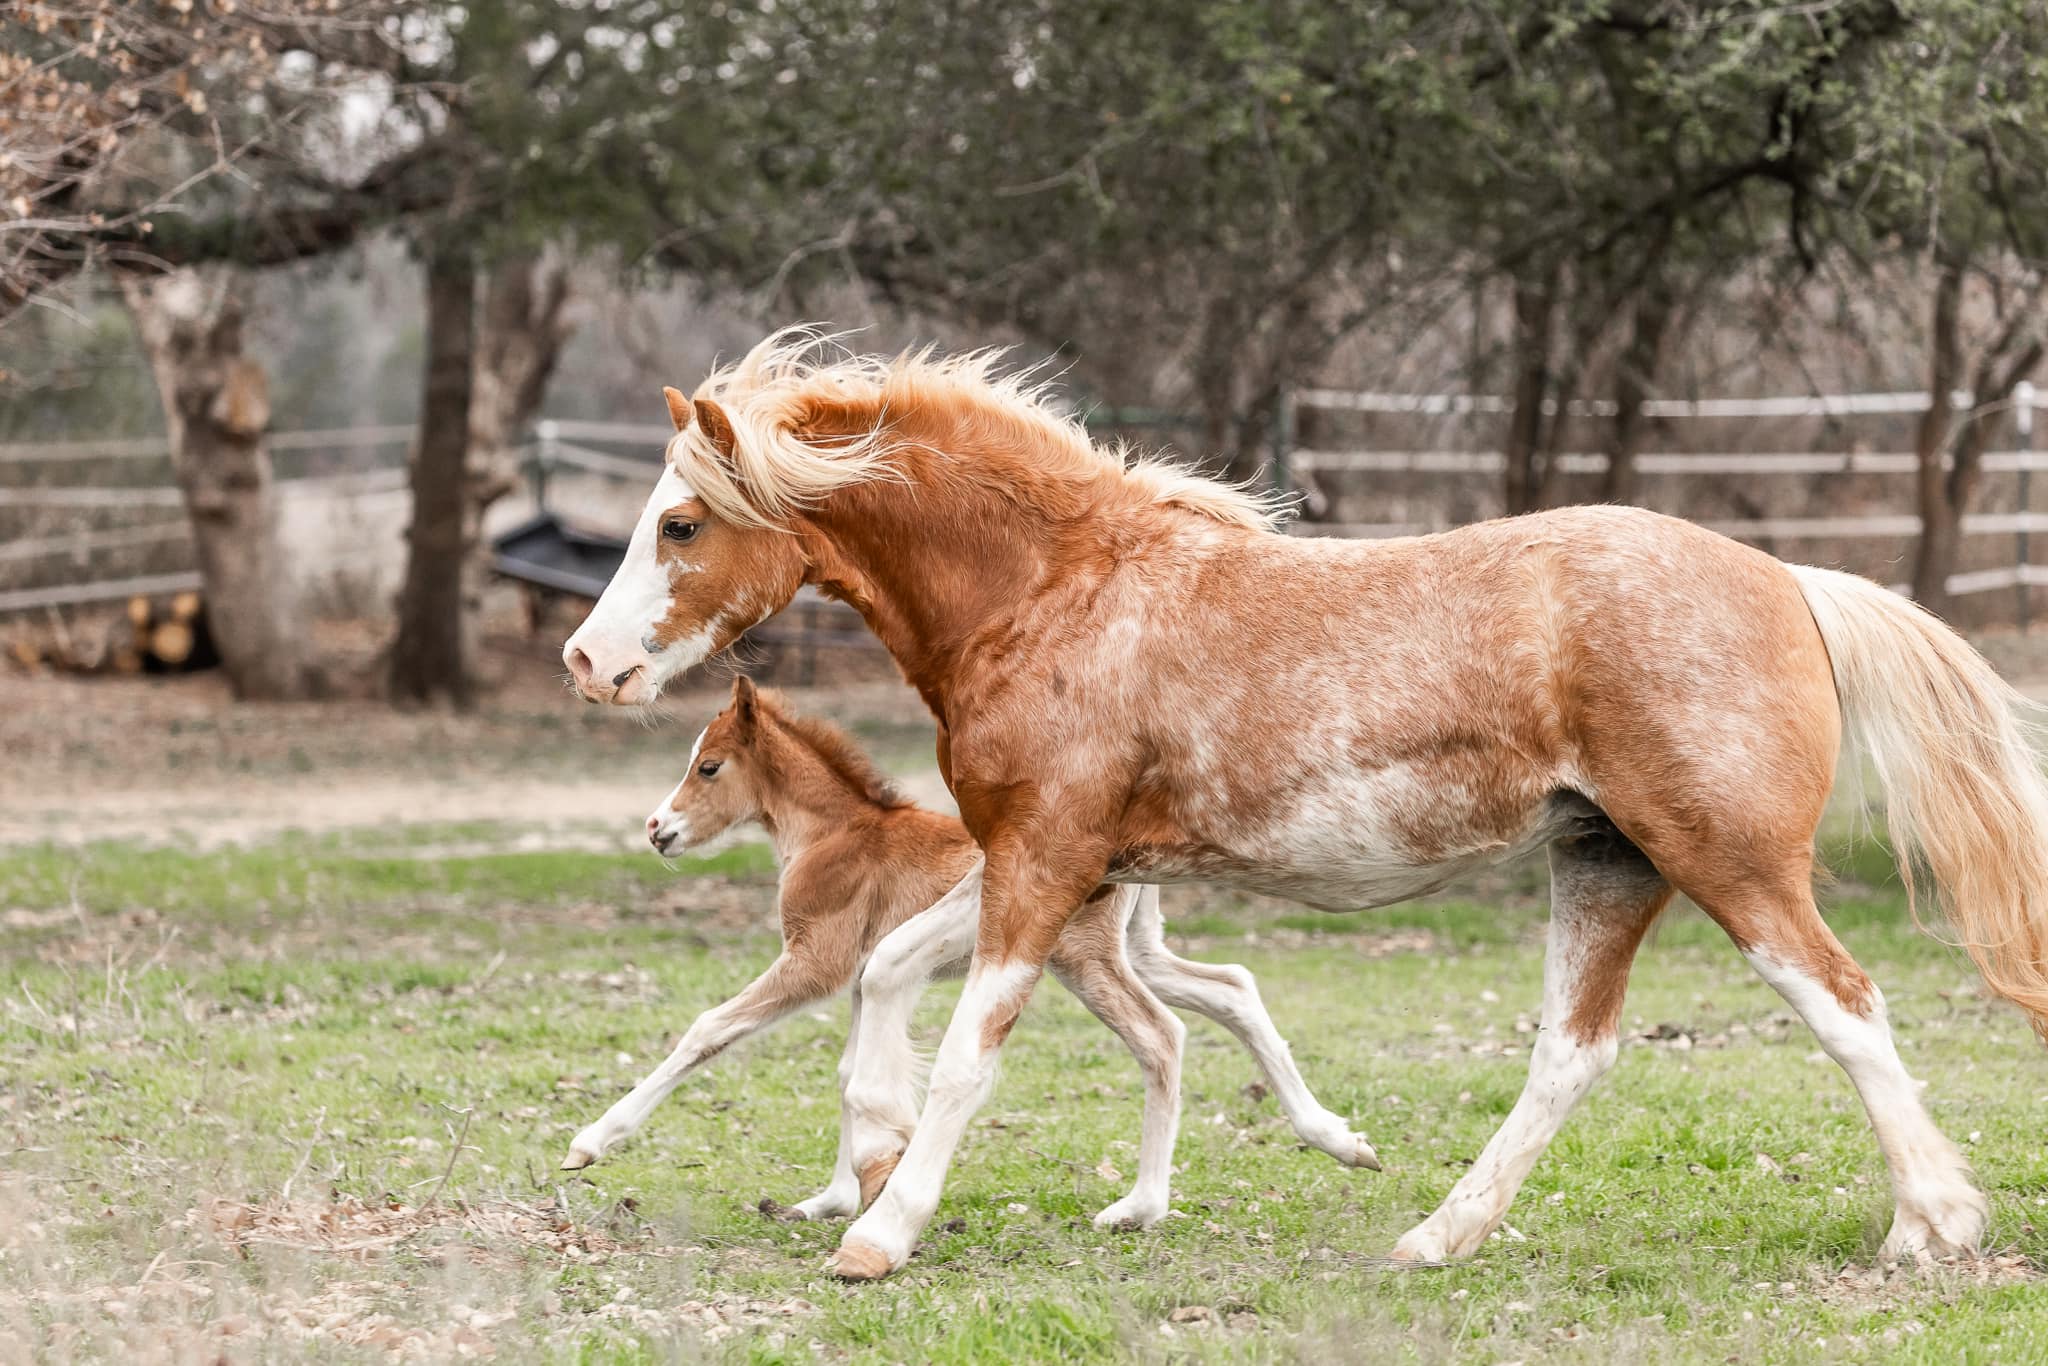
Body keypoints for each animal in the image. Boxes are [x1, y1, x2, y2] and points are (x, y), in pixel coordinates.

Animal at [562, 674, 1377, 1230]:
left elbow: (710, 1029)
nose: (657, 829)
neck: (834, 834)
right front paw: (835, 1196)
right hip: (1136, 950)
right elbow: (852, 1074)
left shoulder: (818, 962)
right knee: (1232, 987)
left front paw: (591, 1142)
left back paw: (1140, 1206)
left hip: (1082, 959)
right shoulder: (864, 977)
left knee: (1161, 1035)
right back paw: (1338, 1139)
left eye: (708, 767)